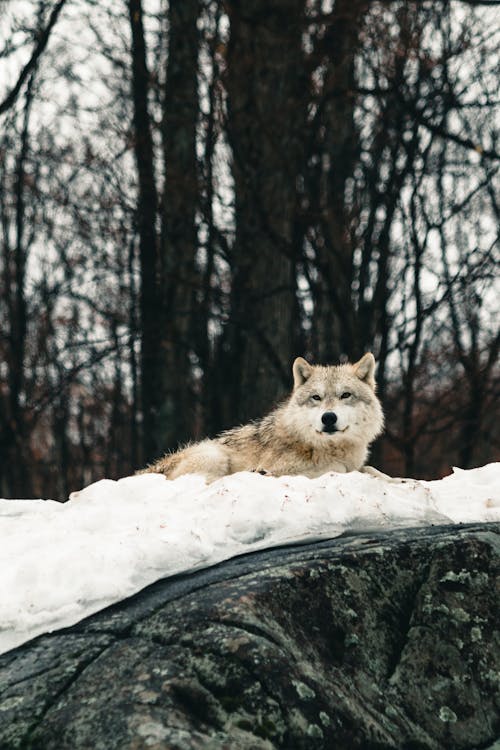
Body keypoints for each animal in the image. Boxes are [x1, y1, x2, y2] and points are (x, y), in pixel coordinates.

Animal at [143, 354, 384, 484]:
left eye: (345, 395)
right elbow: (338, 469)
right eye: (316, 397)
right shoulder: (291, 469)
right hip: (214, 455)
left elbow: (372, 469)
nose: (329, 418)